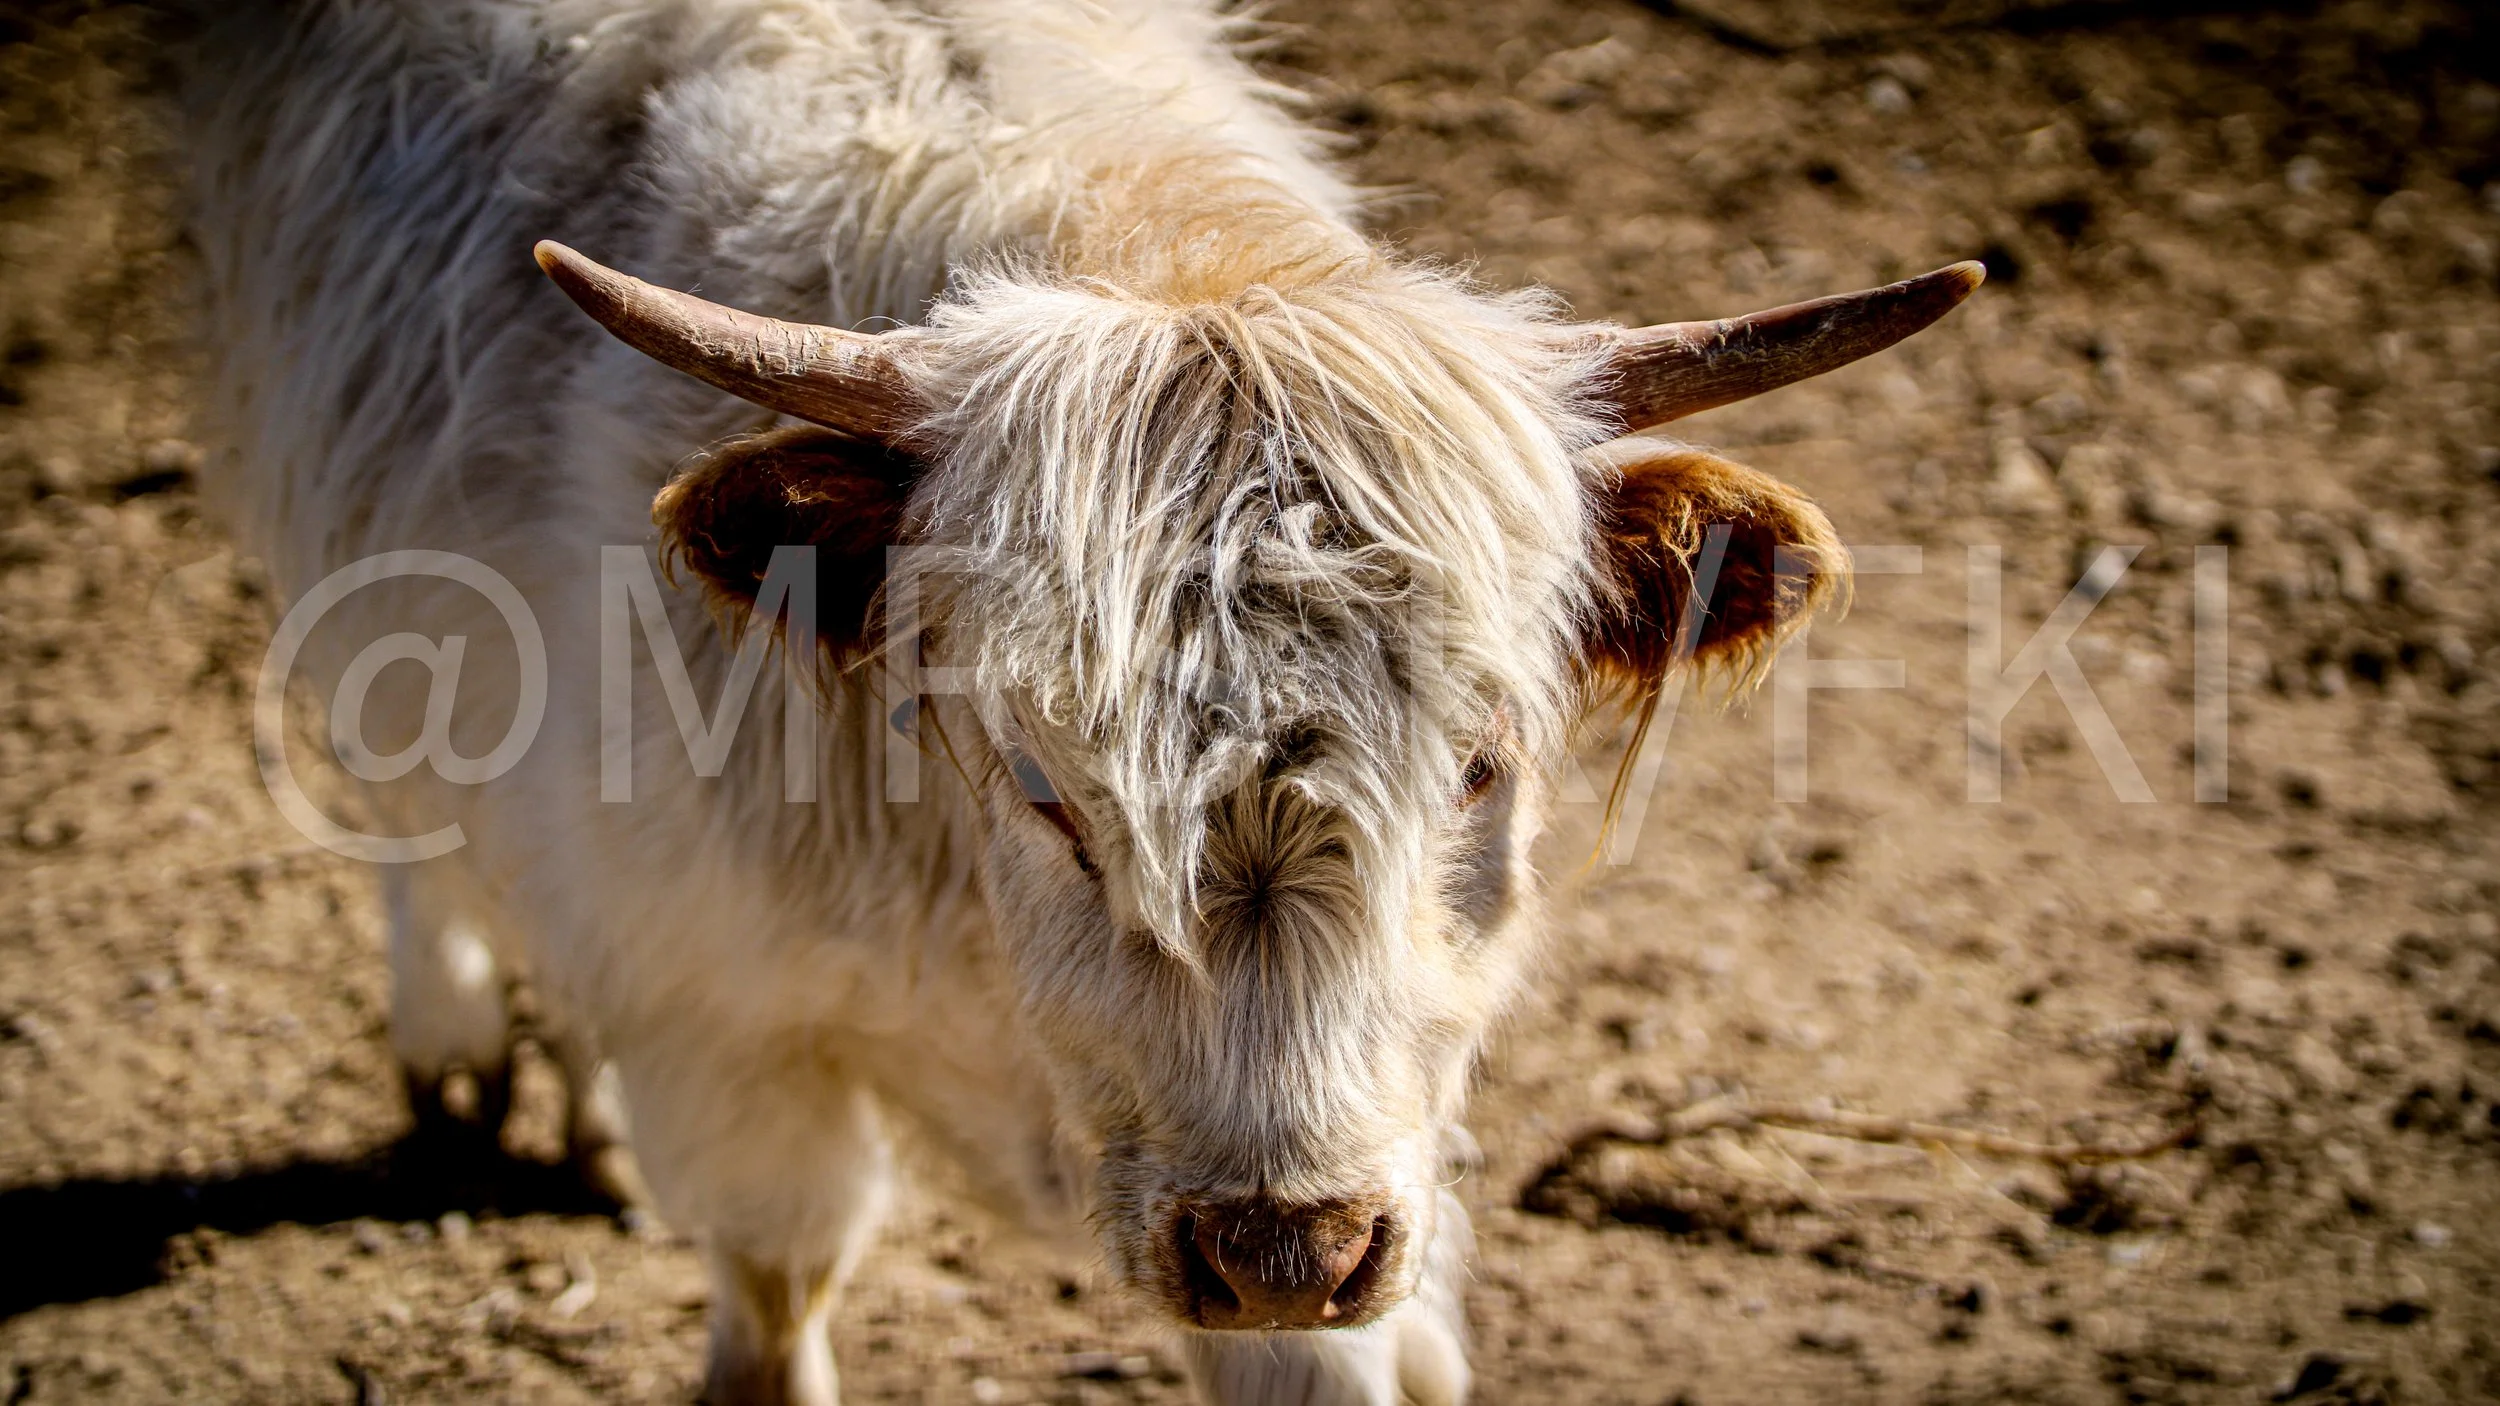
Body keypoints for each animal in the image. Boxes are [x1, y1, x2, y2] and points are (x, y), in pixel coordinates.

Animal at [184, 2, 1977, 1402]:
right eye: (1048, 784)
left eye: (1481, 767)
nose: (1280, 1243)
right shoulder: (733, 1042)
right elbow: (774, 1300)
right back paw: (461, 1047)